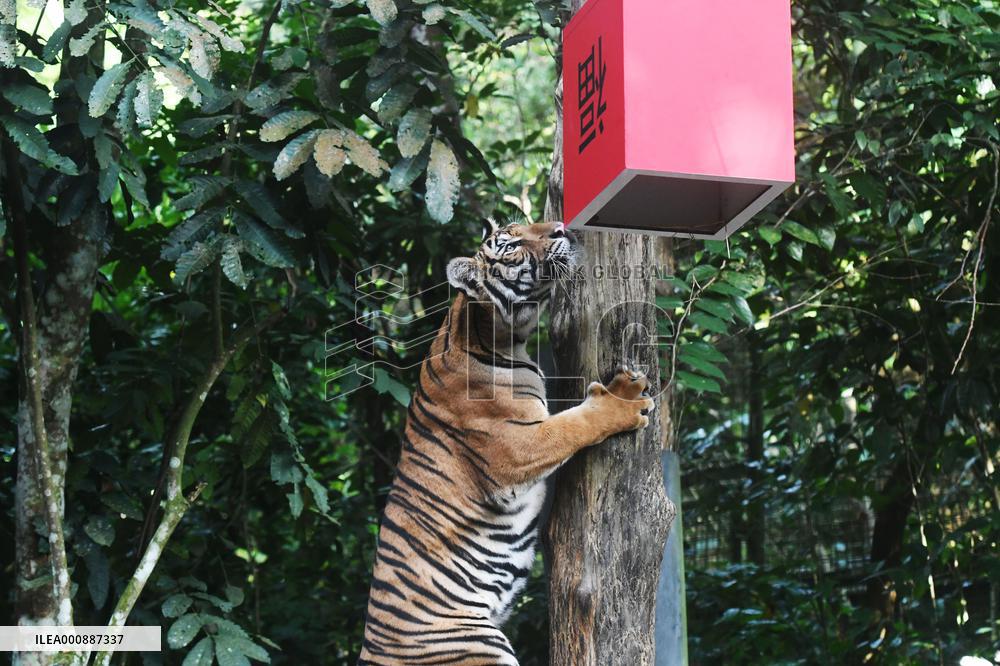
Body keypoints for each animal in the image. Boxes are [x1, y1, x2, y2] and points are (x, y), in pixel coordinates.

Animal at [358, 219, 655, 665]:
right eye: (511, 245)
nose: (561, 229)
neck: (495, 332)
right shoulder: (516, 449)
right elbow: (573, 424)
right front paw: (625, 397)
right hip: (478, 644)